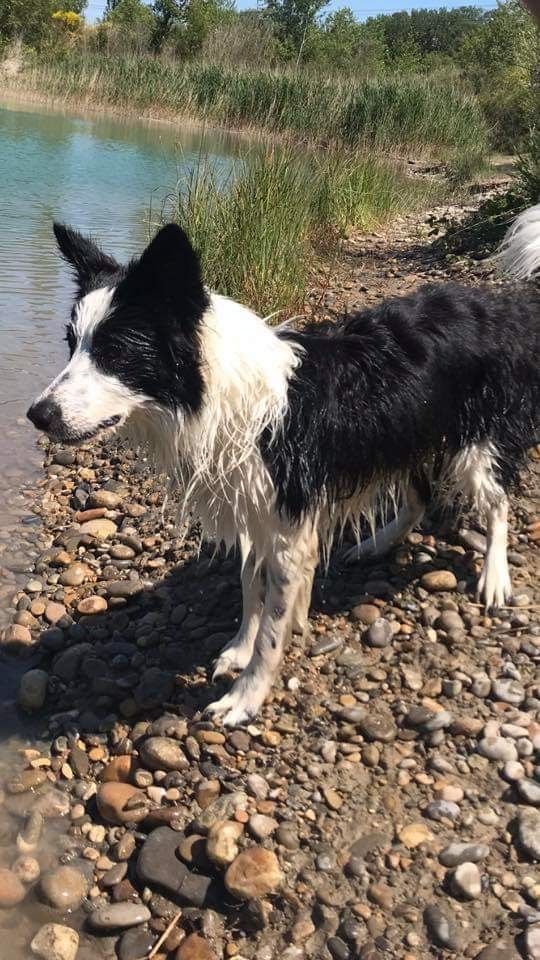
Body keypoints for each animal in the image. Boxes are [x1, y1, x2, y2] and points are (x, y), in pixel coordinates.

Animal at [27, 218, 536, 724]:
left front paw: (245, 696)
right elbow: (251, 586)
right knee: (419, 496)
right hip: (406, 431)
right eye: (71, 346)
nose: (37, 415)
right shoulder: (251, 506)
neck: (219, 395)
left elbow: (272, 629)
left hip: (476, 442)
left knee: (497, 504)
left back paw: (495, 577)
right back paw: (376, 544)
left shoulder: (290, 526)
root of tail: (500, 304)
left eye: (114, 352)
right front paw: (239, 648)